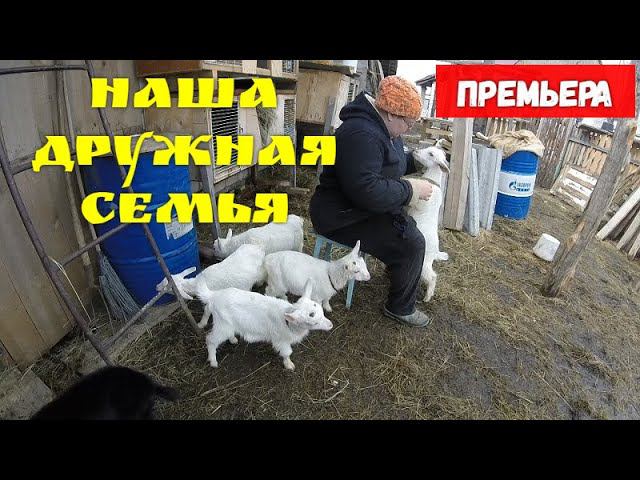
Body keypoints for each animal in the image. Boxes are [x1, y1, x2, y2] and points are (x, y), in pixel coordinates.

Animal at [194, 279, 332, 370]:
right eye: (314, 321)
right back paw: (213, 361)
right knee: (210, 340)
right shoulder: (281, 340)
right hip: (223, 325)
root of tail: (213, 295)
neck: (289, 323)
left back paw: (233, 339)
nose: (330, 325)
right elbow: (287, 352)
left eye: (322, 312)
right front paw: (289, 365)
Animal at [406, 145, 451, 302]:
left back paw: (427, 296)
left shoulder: (422, 201)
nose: (415, 151)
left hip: (424, 263)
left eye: (431, 154)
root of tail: (435, 251)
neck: (432, 181)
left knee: (432, 276)